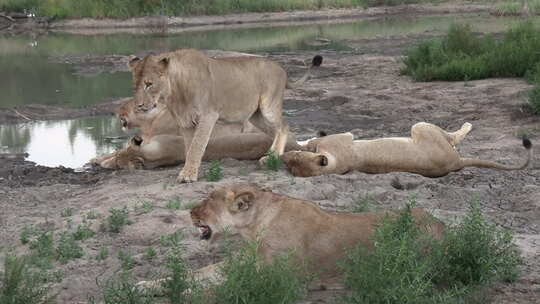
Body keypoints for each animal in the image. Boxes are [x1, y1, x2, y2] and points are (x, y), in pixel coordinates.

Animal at [127, 49, 320, 182]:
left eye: (149, 84)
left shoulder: (208, 115)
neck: (175, 91)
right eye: (135, 85)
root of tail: (281, 68)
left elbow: (197, 146)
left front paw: (187, 175)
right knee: (275, 130)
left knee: (284, 126)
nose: (139, 105)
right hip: (256, 115)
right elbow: (189, 148)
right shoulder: (185, 122)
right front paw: (189, 171)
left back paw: (272, 157)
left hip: (268, 107)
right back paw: (271, 156)